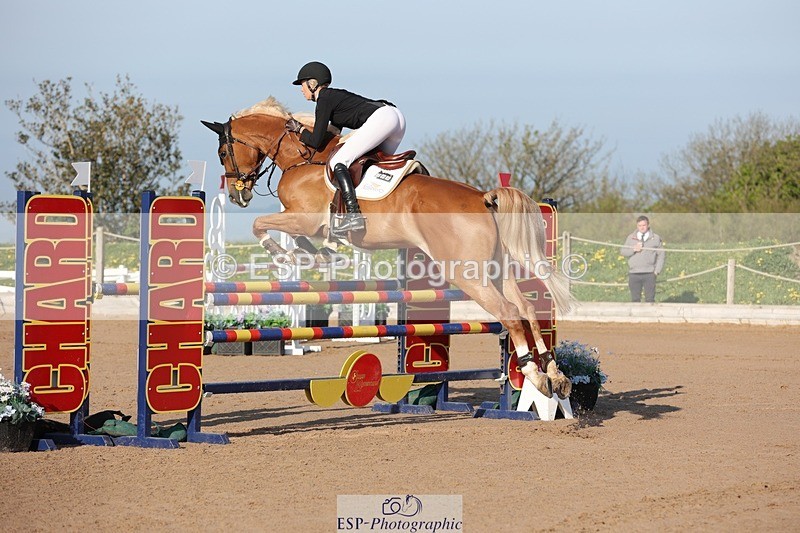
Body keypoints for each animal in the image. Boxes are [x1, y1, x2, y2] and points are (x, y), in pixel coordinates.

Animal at [202, 97, 574, 400]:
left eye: (222, 153)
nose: (237, 195)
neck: (300, 158)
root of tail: (483, 198)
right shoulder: (302, 220)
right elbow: (293, 235)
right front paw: (320, 253)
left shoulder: (302, 218)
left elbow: (261, 225)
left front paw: (285, 253)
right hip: (496, 270)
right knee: (527, 308)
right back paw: (554, 375)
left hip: (468, 275)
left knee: (510, 314)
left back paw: (534, 375)